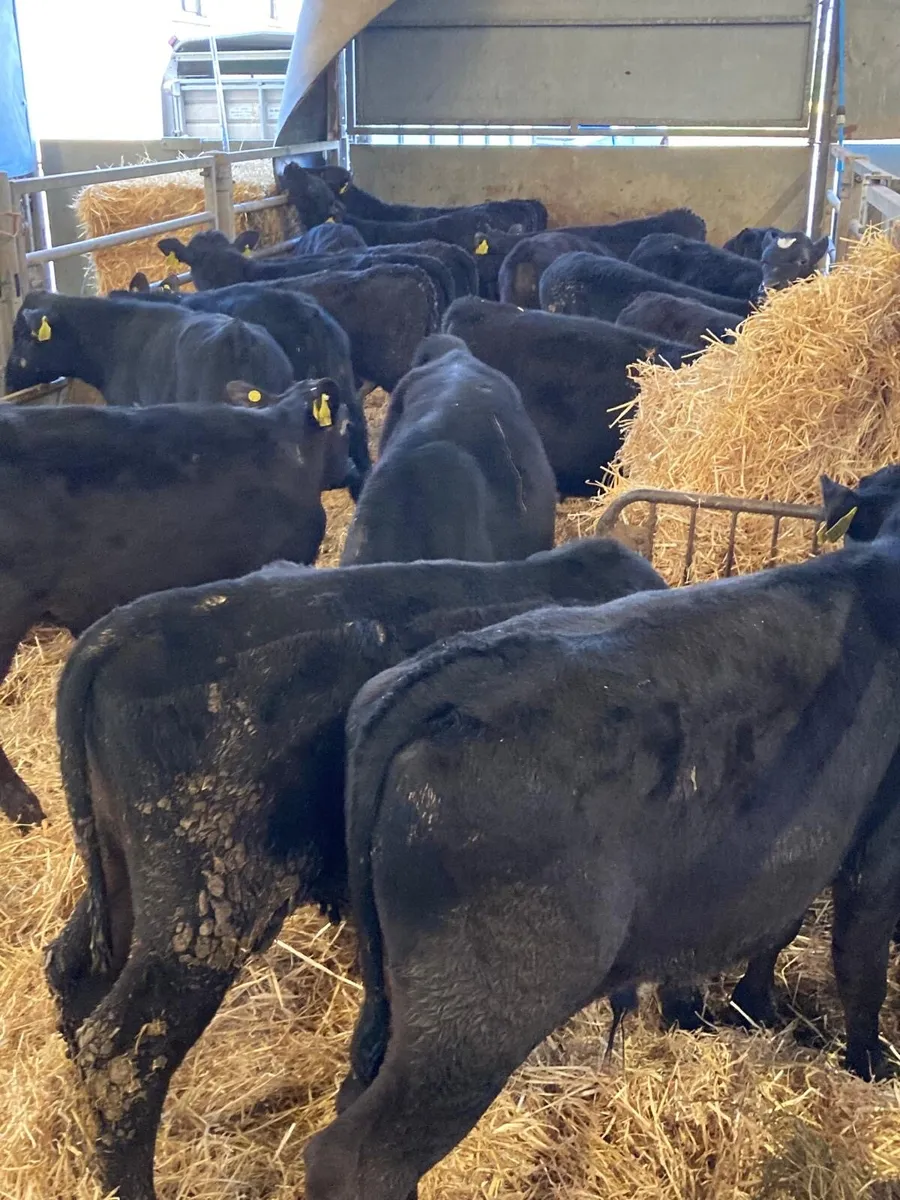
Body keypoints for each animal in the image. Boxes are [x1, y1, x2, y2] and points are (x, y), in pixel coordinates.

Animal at [301, 471, 900, 1200]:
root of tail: (441, 680)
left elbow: (779, 928)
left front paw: (752, 1007)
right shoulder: (881, 845)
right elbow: (861, 959)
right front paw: (872, 1064)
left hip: (395, 999)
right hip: (477, 1015)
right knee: (355, 1157)